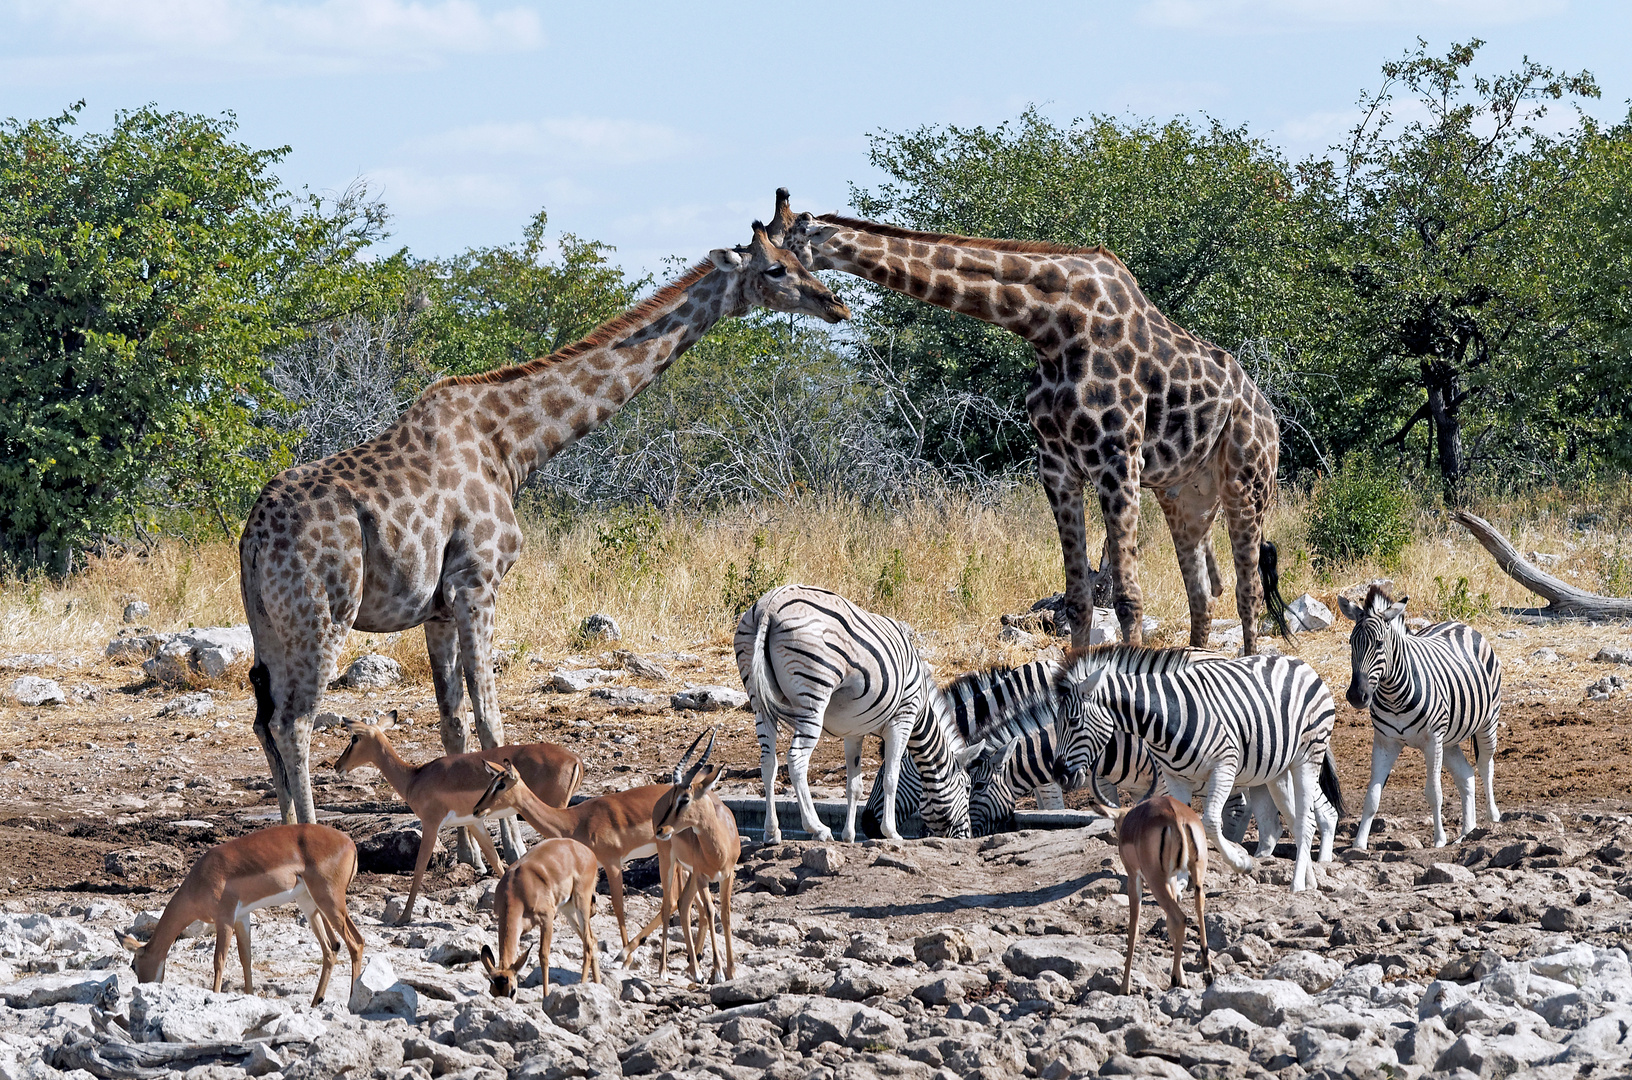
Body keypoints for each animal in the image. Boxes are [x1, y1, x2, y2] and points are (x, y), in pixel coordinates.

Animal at [241, 223, 855, 841]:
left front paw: (467, 850)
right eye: (775, 268)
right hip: (326, 613)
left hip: (269, 624)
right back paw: (309, 836)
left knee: (265, 720)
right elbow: (490, 719)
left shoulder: (438, 607)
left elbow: (453, 722)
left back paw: (282, 835)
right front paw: (508, 844)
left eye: (801, 257)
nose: (835, 304)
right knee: (295, 722)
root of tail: (252, 539)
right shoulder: (476, 583)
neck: (513, 446)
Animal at [744, 584, 979, 848]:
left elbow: (854, 786)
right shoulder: (902, 720)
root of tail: (771, 604)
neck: (920, 713)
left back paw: (772, 832)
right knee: (796, 760)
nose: (968, 837)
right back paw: (818, 828)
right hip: (812, 697)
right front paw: (891, 832)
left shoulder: (853, 732)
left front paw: (849, 836)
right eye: (967, 788)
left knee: (768, 762)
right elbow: (891, 777)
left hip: (760, 703)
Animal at [770, 190, 1292, 655]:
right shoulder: (1057, 467)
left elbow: (1126, 596)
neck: (1050, 326)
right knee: (1202, 593)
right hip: (1185, 495)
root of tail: (1267, 412)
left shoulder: (1117, 461)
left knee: (1247, 589)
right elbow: (1078, 598)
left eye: (780, 252)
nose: (830, 304)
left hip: (1247, 483)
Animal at [1051, 652, 1344, 894]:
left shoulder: (1223, 767)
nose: (1059, 775)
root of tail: (1299, 662)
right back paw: (1309, 881)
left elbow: (1212, 823)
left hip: (1307, 757)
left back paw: (1296, 885)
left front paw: (1241, 862)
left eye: (1074, 721)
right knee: (1297, 821)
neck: (1166, 718)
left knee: (1306, 820)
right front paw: (1179, 883)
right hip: (1276, 773)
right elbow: (1179, 829)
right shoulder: (1175, 778)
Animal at [1338, 587, 1501, 848]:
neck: (1393, 694)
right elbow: (1372, 796)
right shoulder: (1385, 742)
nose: (1356, 695)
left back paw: (1492, 816)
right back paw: (1467, 832)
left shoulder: (1432, 740)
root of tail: (1459, 624)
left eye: (1379, 644)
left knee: (1486, 765)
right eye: (1352, 643)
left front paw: (1439, 839)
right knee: (1466, 775)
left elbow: (1434, 792)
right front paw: (1359, 844)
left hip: (1487, 722)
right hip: (1450, 740)